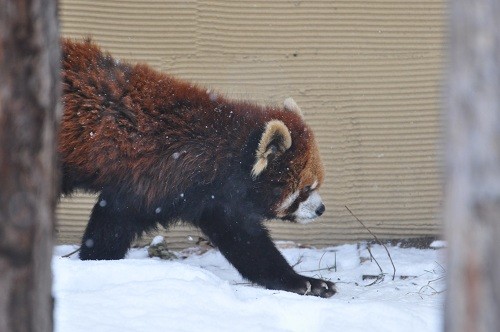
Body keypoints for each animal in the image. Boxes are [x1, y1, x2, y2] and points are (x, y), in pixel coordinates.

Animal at [59, 39, 336, 298]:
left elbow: (247, 243)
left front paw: (304, 281)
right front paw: (98, 263)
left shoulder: (210, 200)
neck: (222, 155)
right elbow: (111, 223)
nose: (321, 209)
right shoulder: (150, 180)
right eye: (306, 188)